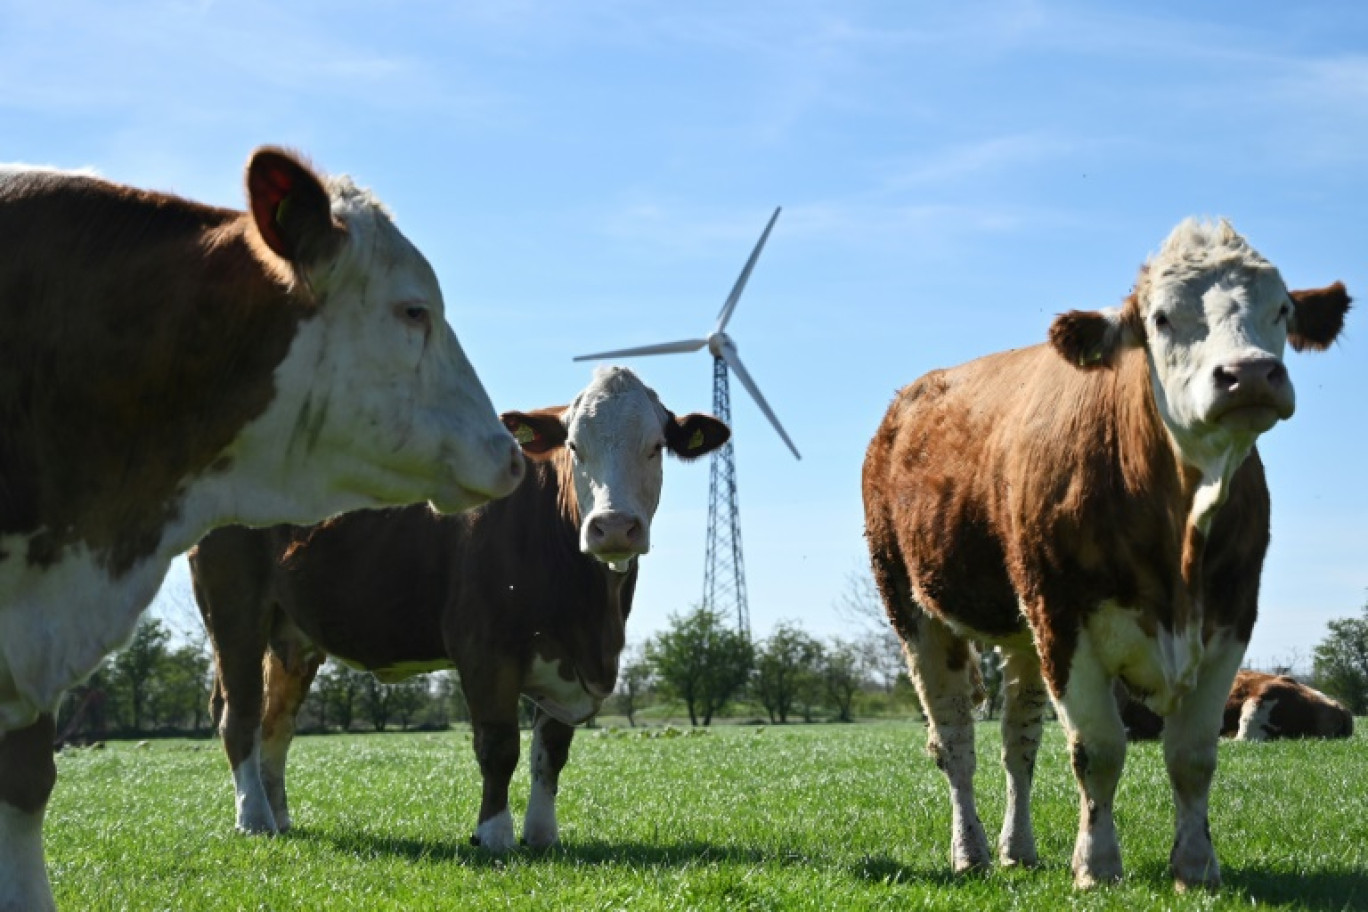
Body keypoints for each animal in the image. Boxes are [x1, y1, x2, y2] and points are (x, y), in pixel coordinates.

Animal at [0, 146, 525, 907]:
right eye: (413, 309)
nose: (510, 453)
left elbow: (26, 782)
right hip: (235, 604)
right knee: (240, 712)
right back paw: (255, 816)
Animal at [188, 366, 733, 853]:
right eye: (575, 447)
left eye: (655, 446)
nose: (614, 526)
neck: (591, 614)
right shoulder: (484, 646)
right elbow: (499, 746)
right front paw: (494, 834)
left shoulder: (564, 661)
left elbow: (551, 752)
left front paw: (542, 834)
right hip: (234, 609)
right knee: (239, 713)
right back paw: (253, 818)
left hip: (292, 635)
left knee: (277, 721)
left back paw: (278, 816)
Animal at [859, 221, 1351, 891]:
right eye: (1161, 318)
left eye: (1282, 309)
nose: (1249, 374)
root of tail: (903, 405)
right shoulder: (1065, 624)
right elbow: (1098, 749)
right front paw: (1096, 866)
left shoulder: (1230, 621)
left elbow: (1193, 754)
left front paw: (1196, 867)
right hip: (914, 610)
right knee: (956, 741)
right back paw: (973, 853)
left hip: (1023, 630)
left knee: (1019, 741)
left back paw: (1019, 849)